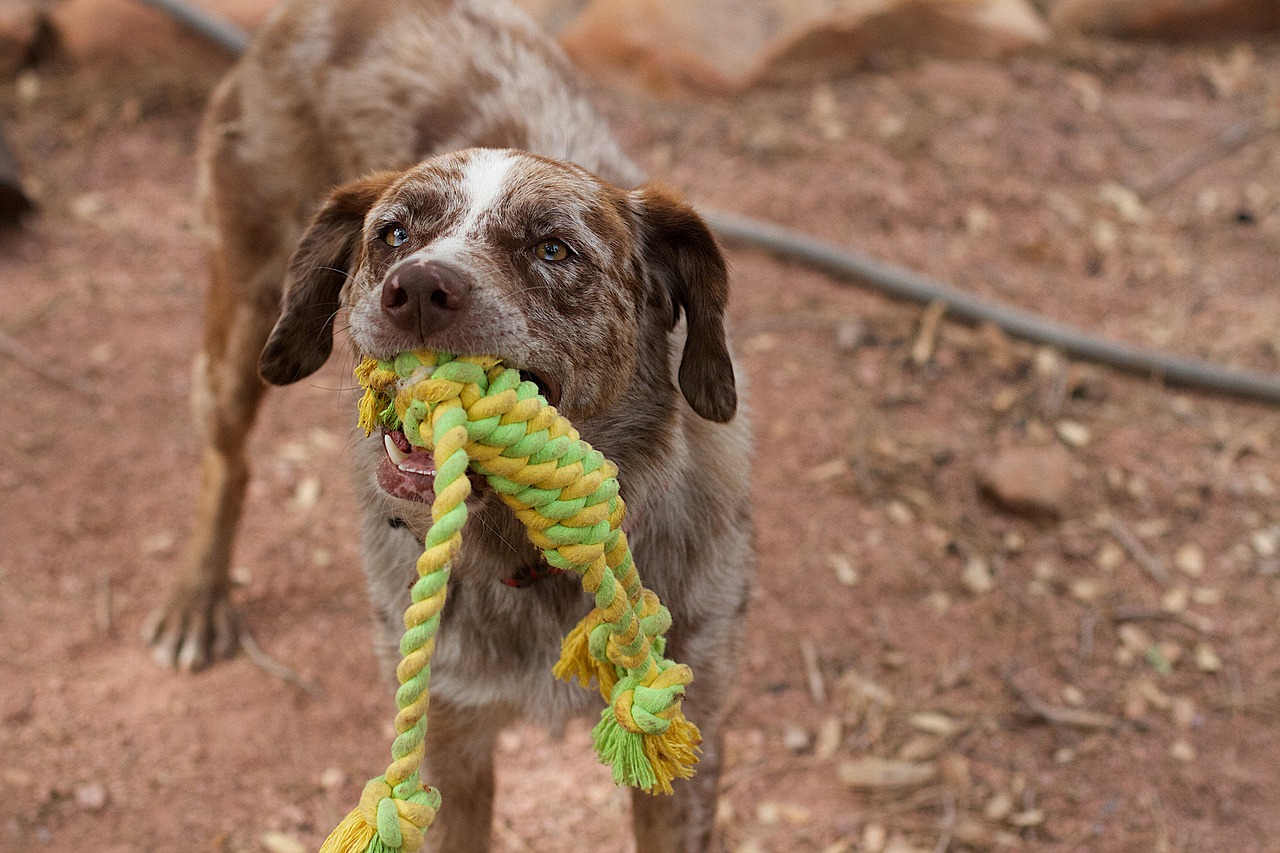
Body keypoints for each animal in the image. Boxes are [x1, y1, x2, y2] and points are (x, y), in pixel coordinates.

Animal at [145, 3, 752, 845]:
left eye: (553, 248)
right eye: (394, 234)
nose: (418, 289)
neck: (533, 559)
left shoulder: (691, 744)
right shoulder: (448, 741)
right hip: (244, 316)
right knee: (226, 459)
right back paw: (196, 600)